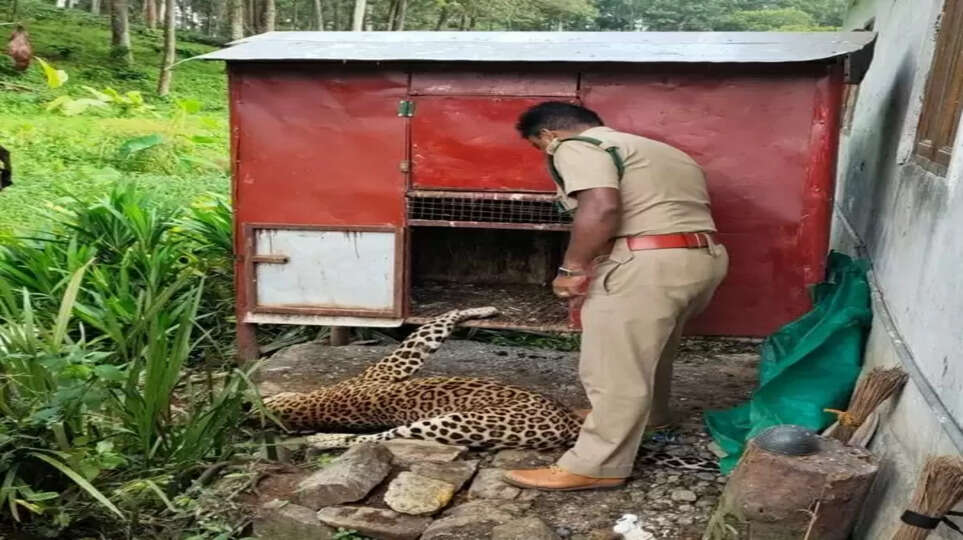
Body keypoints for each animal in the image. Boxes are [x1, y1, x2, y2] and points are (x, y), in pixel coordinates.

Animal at [261, 307, 719, 473]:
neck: (306, 406)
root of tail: (568, 425)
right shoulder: (393, 365)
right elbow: (432, 326)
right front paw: (479, 310)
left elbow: (436, 324)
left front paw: (481, 310)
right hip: (447, 424)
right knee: (374, 438)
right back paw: (323, 439)